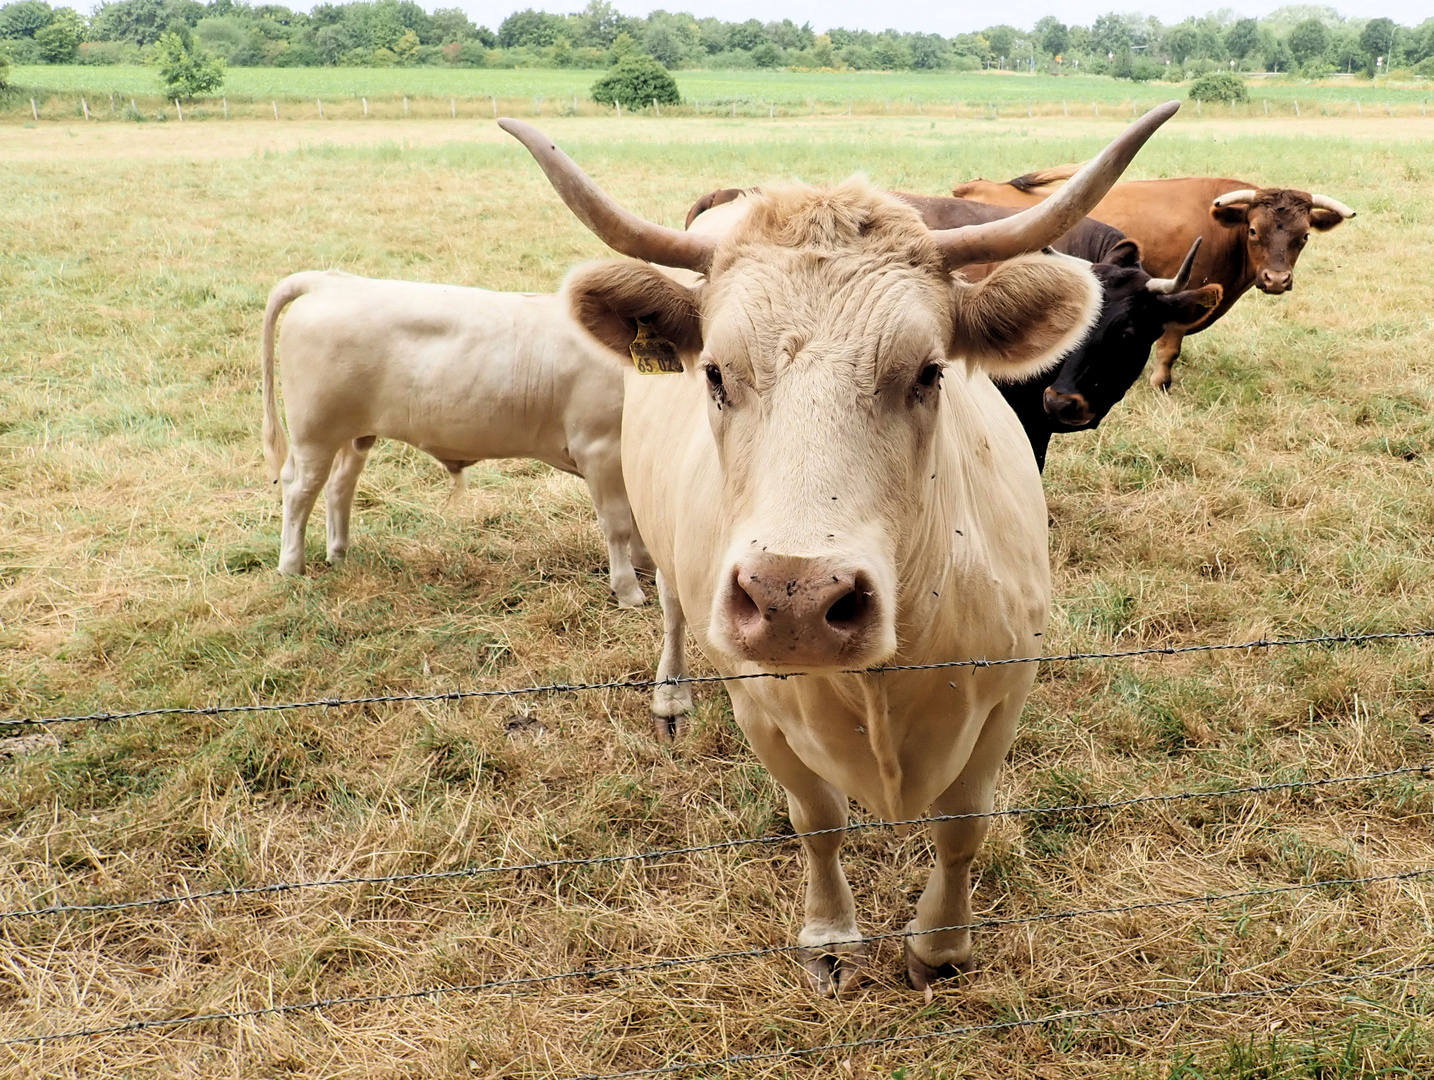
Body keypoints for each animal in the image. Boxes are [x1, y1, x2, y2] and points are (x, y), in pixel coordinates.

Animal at [260, 269, 653, 608]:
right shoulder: (599, 449)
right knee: (300, 490)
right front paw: (628, 590)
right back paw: (292, 566)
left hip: (352, 434)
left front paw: (646, 564)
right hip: (315, 432)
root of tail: (329, 281)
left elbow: (638, 514)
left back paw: (338, 553)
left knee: (339, 484)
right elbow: (618, 522)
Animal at [504, 103, 1175, 992]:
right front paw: (829, 938)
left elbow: (964, 824)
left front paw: (940, 946)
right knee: (676, 613)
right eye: (714, 372)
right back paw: (671, 700)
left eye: (929, 372)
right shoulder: (759, 707)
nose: (796, 600)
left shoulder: (1005, 695)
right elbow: (817, 818)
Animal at [952, 166, 1353, 390]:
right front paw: (1161, 383)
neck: (1220, 230)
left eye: (1304, 236)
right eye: (1254, 230)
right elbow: (1169, 349)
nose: (1276, 279)